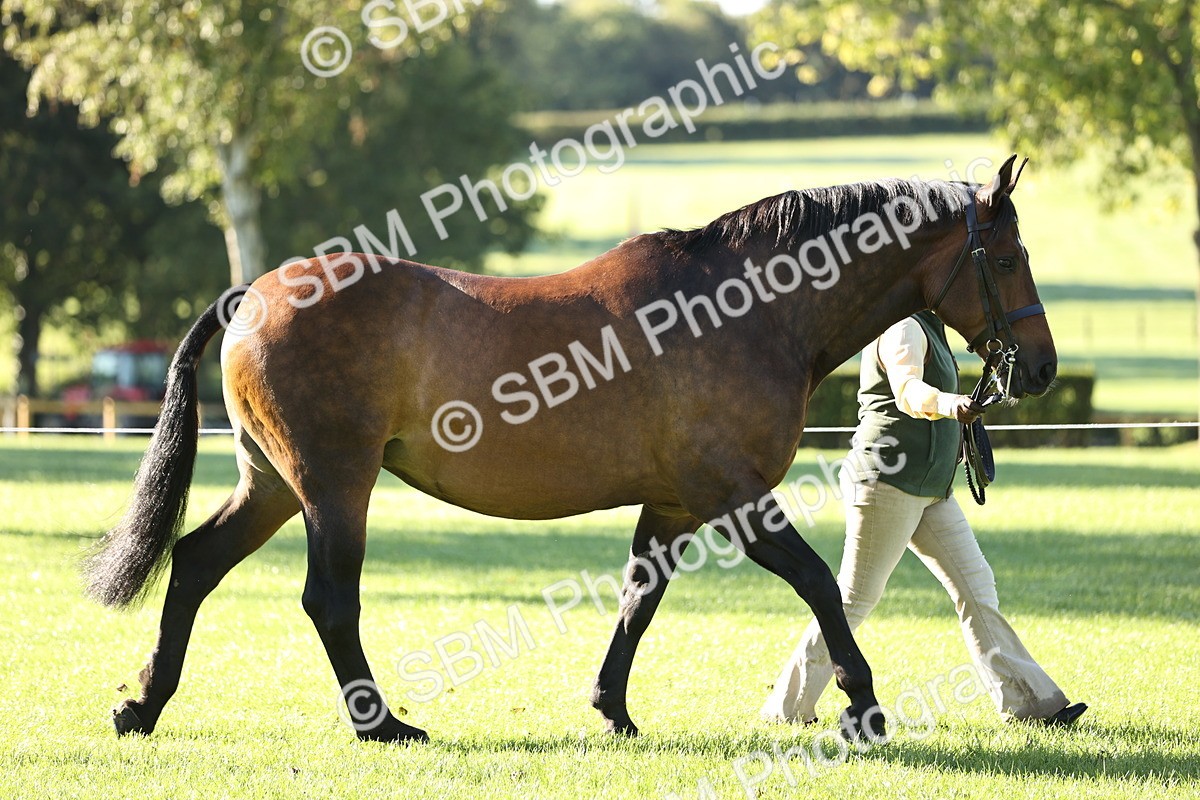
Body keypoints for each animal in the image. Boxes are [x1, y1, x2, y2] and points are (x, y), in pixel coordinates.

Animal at [86, 154, 1055, 744]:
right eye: (1008, 258)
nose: (1040, 368)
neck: (746, 309)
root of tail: (255, 294)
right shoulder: (733, 495)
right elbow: (820, 583)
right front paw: (864, 703)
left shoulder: (673, 503)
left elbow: (638, 600)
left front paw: (612, 709)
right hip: (334, 485)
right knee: (327, 599)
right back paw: (381, 724)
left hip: (274, 483)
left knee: (194, 562)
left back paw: (144, 704)